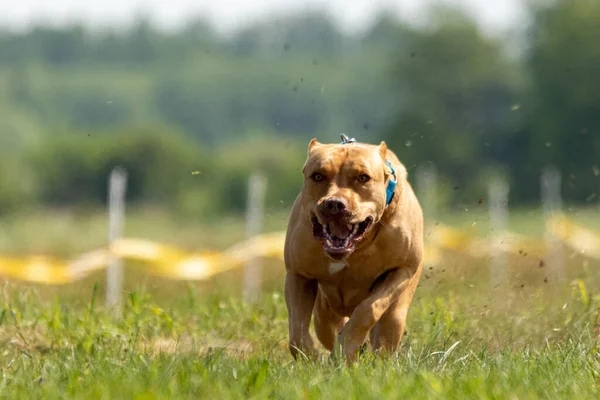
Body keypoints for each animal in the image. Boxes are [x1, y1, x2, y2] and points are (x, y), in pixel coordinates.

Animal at [284, 135, 424, 362]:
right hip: (324, 314)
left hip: (397, 313)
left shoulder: (401, 270)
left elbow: (368, 309)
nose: (334, 204)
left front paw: (345, 351)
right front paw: (311, 360)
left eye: (363, 178)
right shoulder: (298, 275)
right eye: (317, 176)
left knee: (388, 326)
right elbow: (297, 332)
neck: (356, 248)